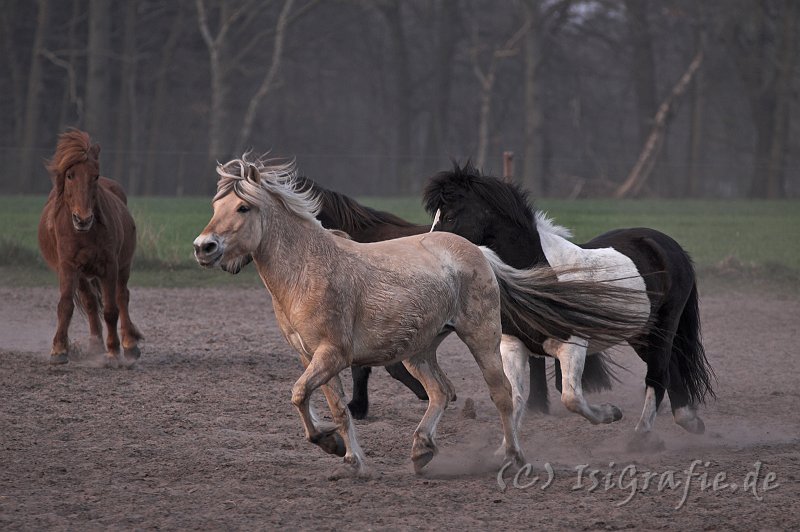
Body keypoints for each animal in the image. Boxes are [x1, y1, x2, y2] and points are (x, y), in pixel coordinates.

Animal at [38, 130, 142, 366]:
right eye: (69, 175)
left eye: (95, 176)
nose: (83, 219)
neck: (84, 234)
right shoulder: (68, 267)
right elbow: (65, 306)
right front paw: (59, 350)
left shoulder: (110, 266)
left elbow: (111, 310)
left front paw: (113, 352)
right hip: (83, 276)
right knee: (90, 303)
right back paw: (95, 345)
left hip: (123, 267)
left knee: (122, 297)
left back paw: (129, 345)